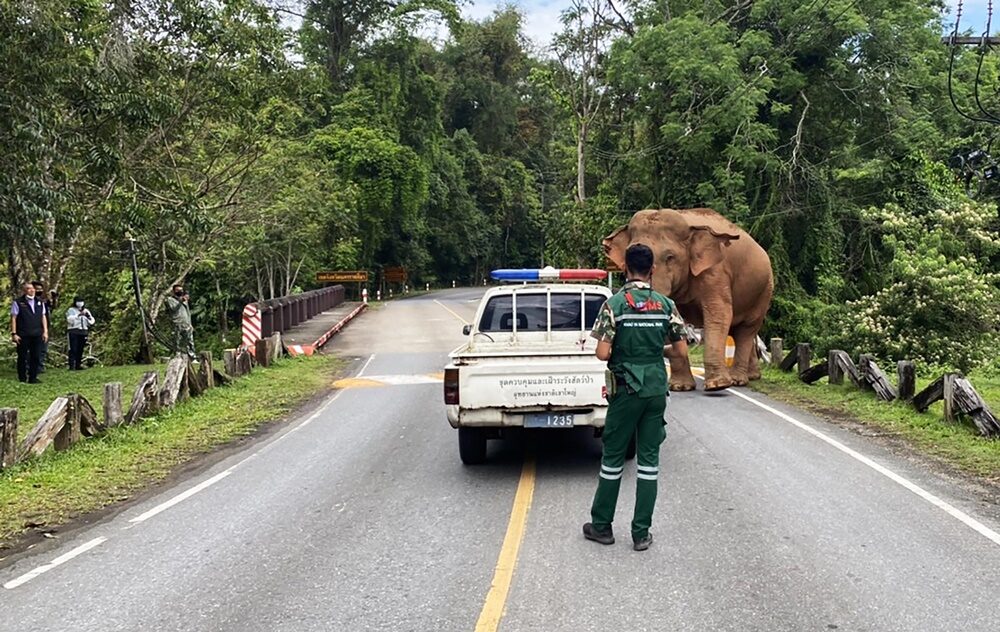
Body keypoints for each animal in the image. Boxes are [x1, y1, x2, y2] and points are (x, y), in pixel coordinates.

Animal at [600, 210, 772, 392]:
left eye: (670, 257)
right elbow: (674, 318)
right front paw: (680, 387)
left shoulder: (715, 272)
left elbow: (719, 314)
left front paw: (717, 386)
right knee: (739, 330)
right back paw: (752, 376)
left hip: (764, 291)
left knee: (747, 329)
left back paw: (738, 380)